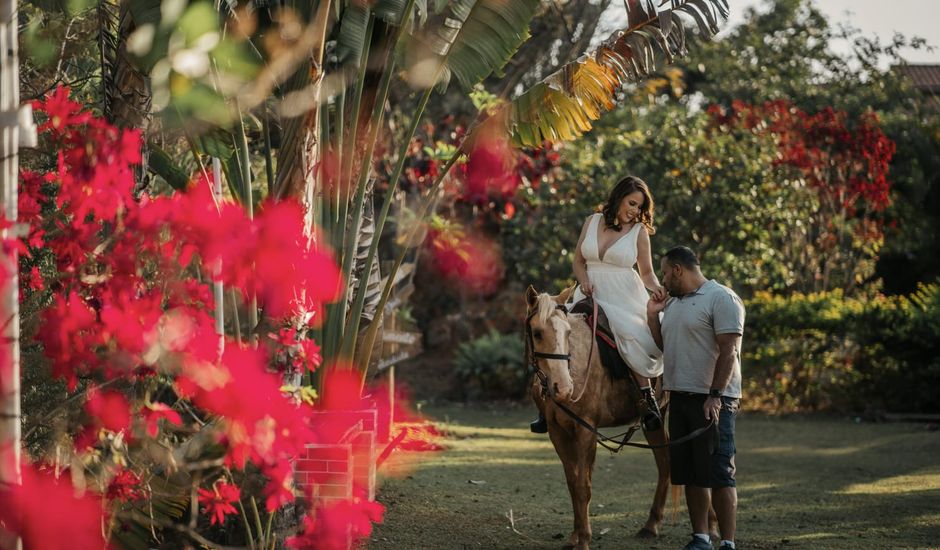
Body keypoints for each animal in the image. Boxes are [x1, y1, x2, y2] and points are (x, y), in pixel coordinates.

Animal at [524, 286, 672, 548]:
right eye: (537, 333)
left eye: (568, 332)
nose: (563, 388)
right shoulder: (557, 432)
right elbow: (573, 483)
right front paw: (575, 536)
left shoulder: (586, 431)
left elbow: (584, 485)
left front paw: (584, 539)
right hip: (654, 423)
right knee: (665, 465)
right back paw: (651, 525)